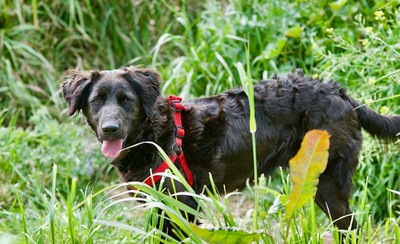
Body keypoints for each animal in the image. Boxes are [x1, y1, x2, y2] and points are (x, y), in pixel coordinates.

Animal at [61, 66, 400, 239]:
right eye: (97, 101)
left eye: (126, 100)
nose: (110, 129)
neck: (154, 135)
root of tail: (343, 95)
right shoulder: (161, 207)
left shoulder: (183, 205)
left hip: (328, 186)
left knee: (352, 230)